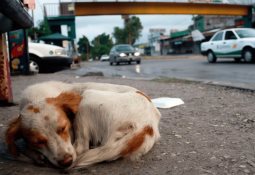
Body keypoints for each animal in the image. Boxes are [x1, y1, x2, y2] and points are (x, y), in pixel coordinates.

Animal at [4, 80, 160, 168]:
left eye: (63, 128)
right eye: (38, 141)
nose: (66, 162)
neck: (36, 98)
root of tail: (147, 124)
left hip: (87, 98)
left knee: (81, 147)